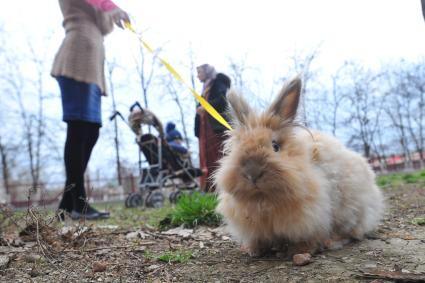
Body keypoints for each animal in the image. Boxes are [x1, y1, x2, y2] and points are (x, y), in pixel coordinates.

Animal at [214, 76, 382, 258]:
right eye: (239, 147)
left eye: (275, 146)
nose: (253, 174)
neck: (263, 199)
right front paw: (254, 250)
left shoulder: (311, 216)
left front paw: (300, 250)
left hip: (350, 212)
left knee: (352, 232)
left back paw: (331, 242)